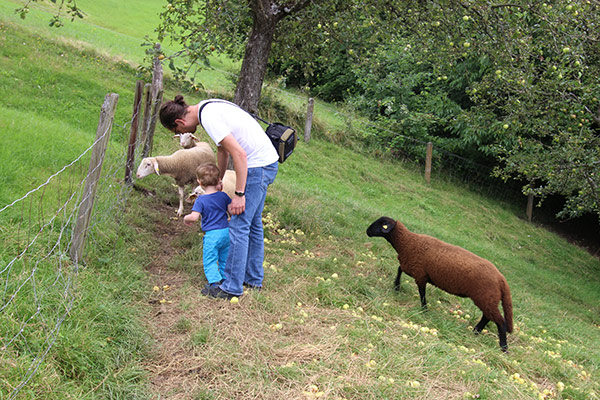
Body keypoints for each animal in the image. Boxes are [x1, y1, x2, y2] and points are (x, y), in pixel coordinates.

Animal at [366, 216, 516, 350]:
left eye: (381, 224)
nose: (367, 231)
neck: (408, 242)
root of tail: (501, 279)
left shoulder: (420, 274)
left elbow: (422, 292)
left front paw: (424, 309)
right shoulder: (412, 267)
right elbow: (399, 269)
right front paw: (396, 286)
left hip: (485, 297)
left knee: (500, 321)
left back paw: (503, 347)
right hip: (488, 299)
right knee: (487, 317)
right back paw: (476, 331)